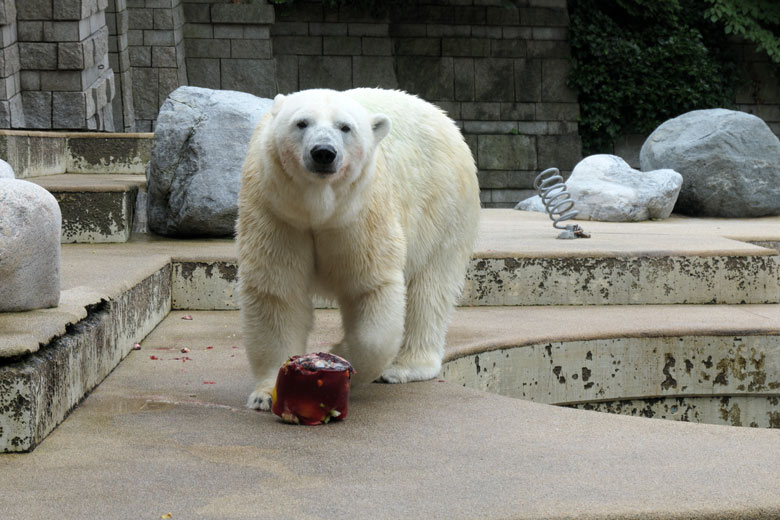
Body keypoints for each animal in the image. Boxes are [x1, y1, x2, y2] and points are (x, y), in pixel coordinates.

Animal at [238, 88, 482, 410]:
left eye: (345, 127)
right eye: (301, 123)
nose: (323, 152)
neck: (317, 208)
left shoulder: (360, 213)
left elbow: (371, 288)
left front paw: (340, 355)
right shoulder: (277, 212)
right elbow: (277, 291)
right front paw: (267, 393)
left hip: (444, 206)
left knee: (429, 288)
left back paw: (403, 367)